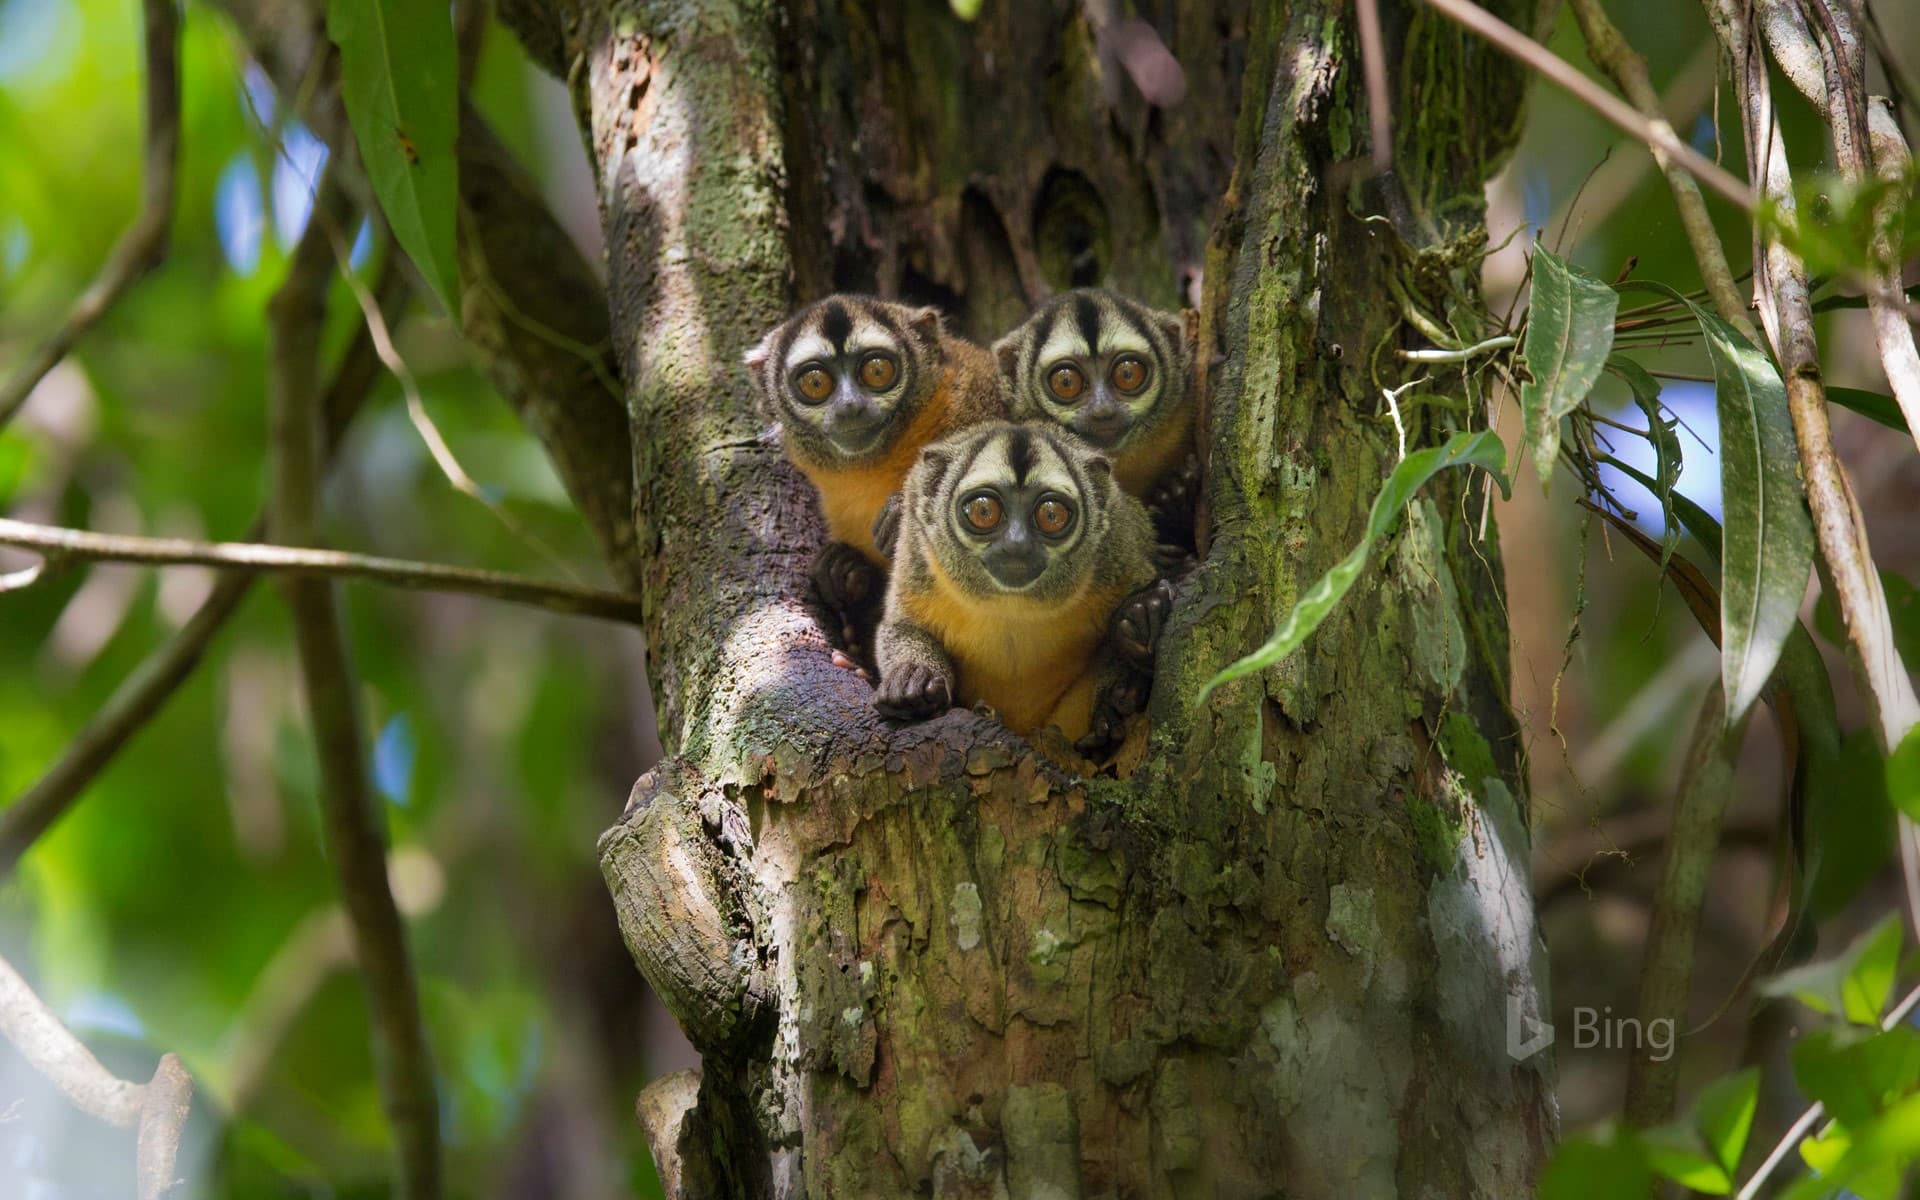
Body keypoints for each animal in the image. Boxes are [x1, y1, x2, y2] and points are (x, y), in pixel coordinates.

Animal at [745, 296, 1004, 655]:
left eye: (877, 371)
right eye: (815, 382)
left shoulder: (974, 391)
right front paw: (843, 570)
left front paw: (898, 514)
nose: (850, 406)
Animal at [872, 421, 1173, 755]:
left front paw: (1140, 621)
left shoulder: (1119, 545)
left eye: (1051, 515)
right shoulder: (918, 552)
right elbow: (901, 625)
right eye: (983, 511)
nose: (1017, 545)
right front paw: (912, 682)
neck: (1013, 601)